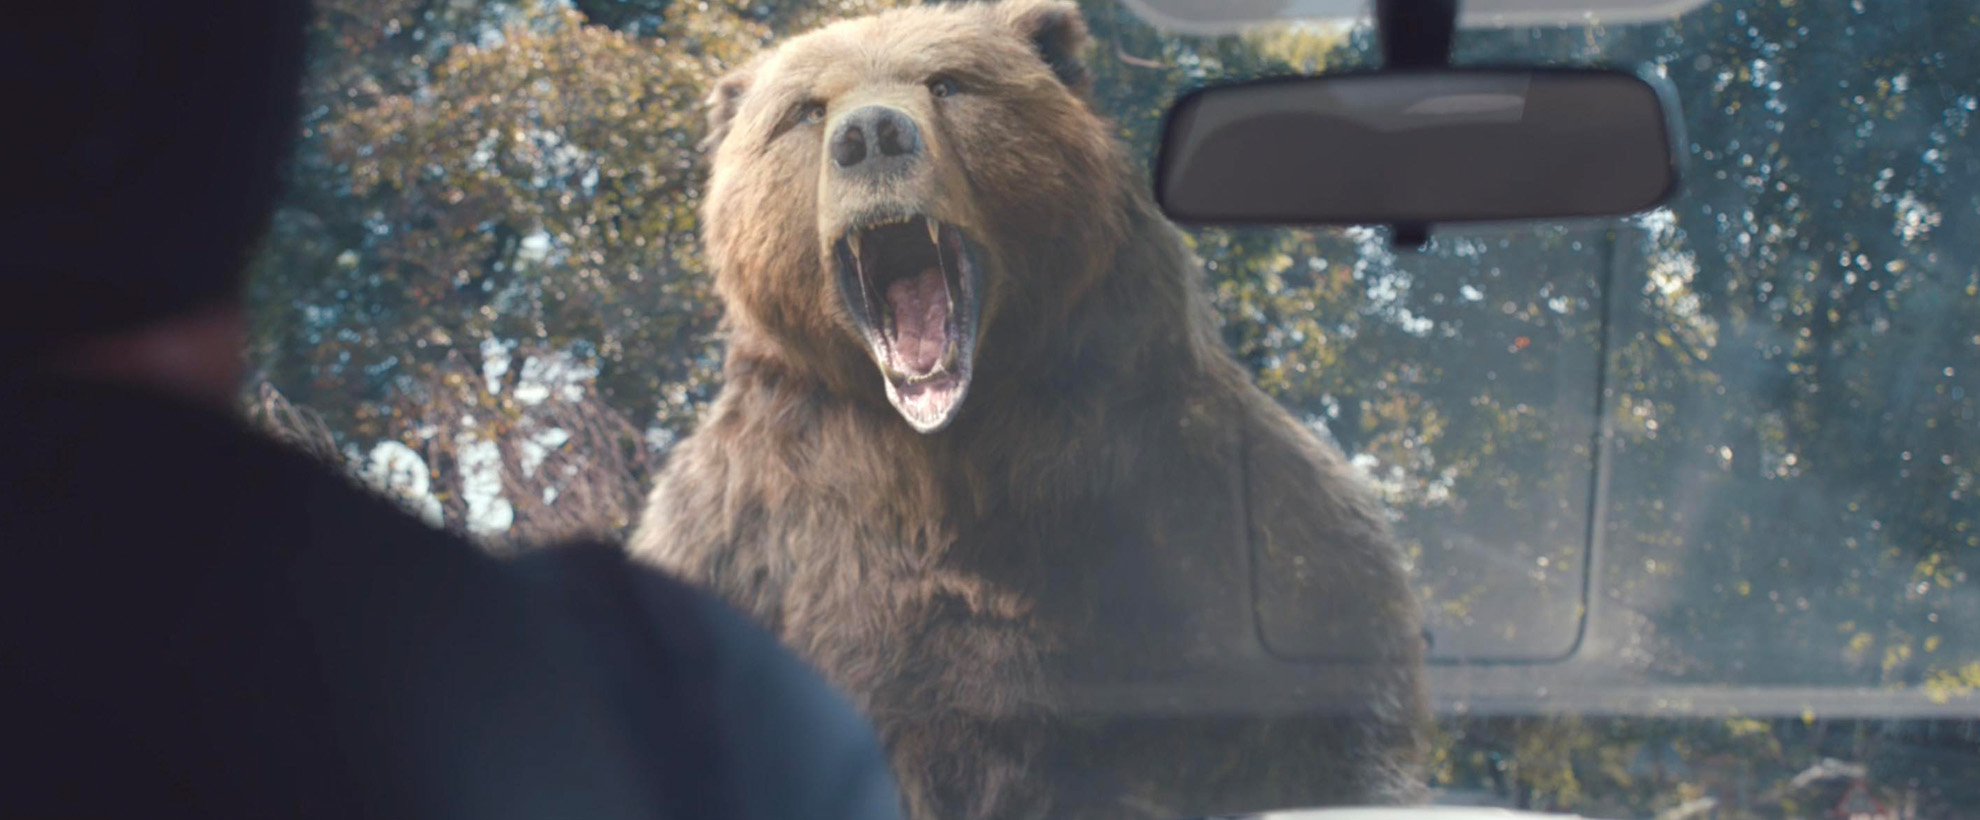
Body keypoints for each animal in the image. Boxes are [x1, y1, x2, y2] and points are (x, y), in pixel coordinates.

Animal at [637, 3, 1441, 816]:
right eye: (806, 110)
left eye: (947, 83)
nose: (871, 134)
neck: (944, 464)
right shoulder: (753, 540)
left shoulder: (1211, 514)